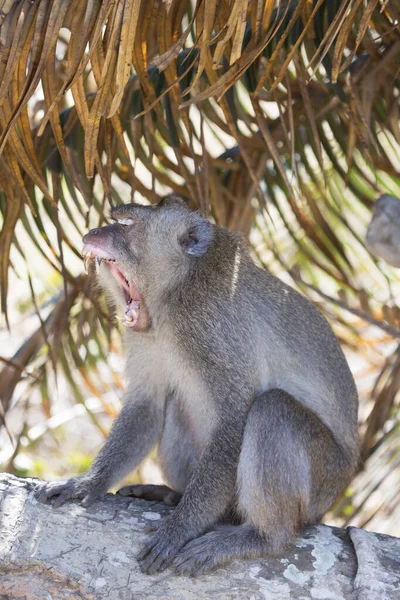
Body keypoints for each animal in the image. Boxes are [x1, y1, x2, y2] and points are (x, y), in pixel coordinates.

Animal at [35, 196, 360, 576]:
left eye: (127, 224)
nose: (94, 233)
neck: (174, 292)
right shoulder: (145, 336)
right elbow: (148, 406)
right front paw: (88, 482)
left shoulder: (208, 325)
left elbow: (234, 418)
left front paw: (180, 528)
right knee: (179, 404)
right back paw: (174, 495)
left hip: (324, 481)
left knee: (273, 408)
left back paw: (263, 537)